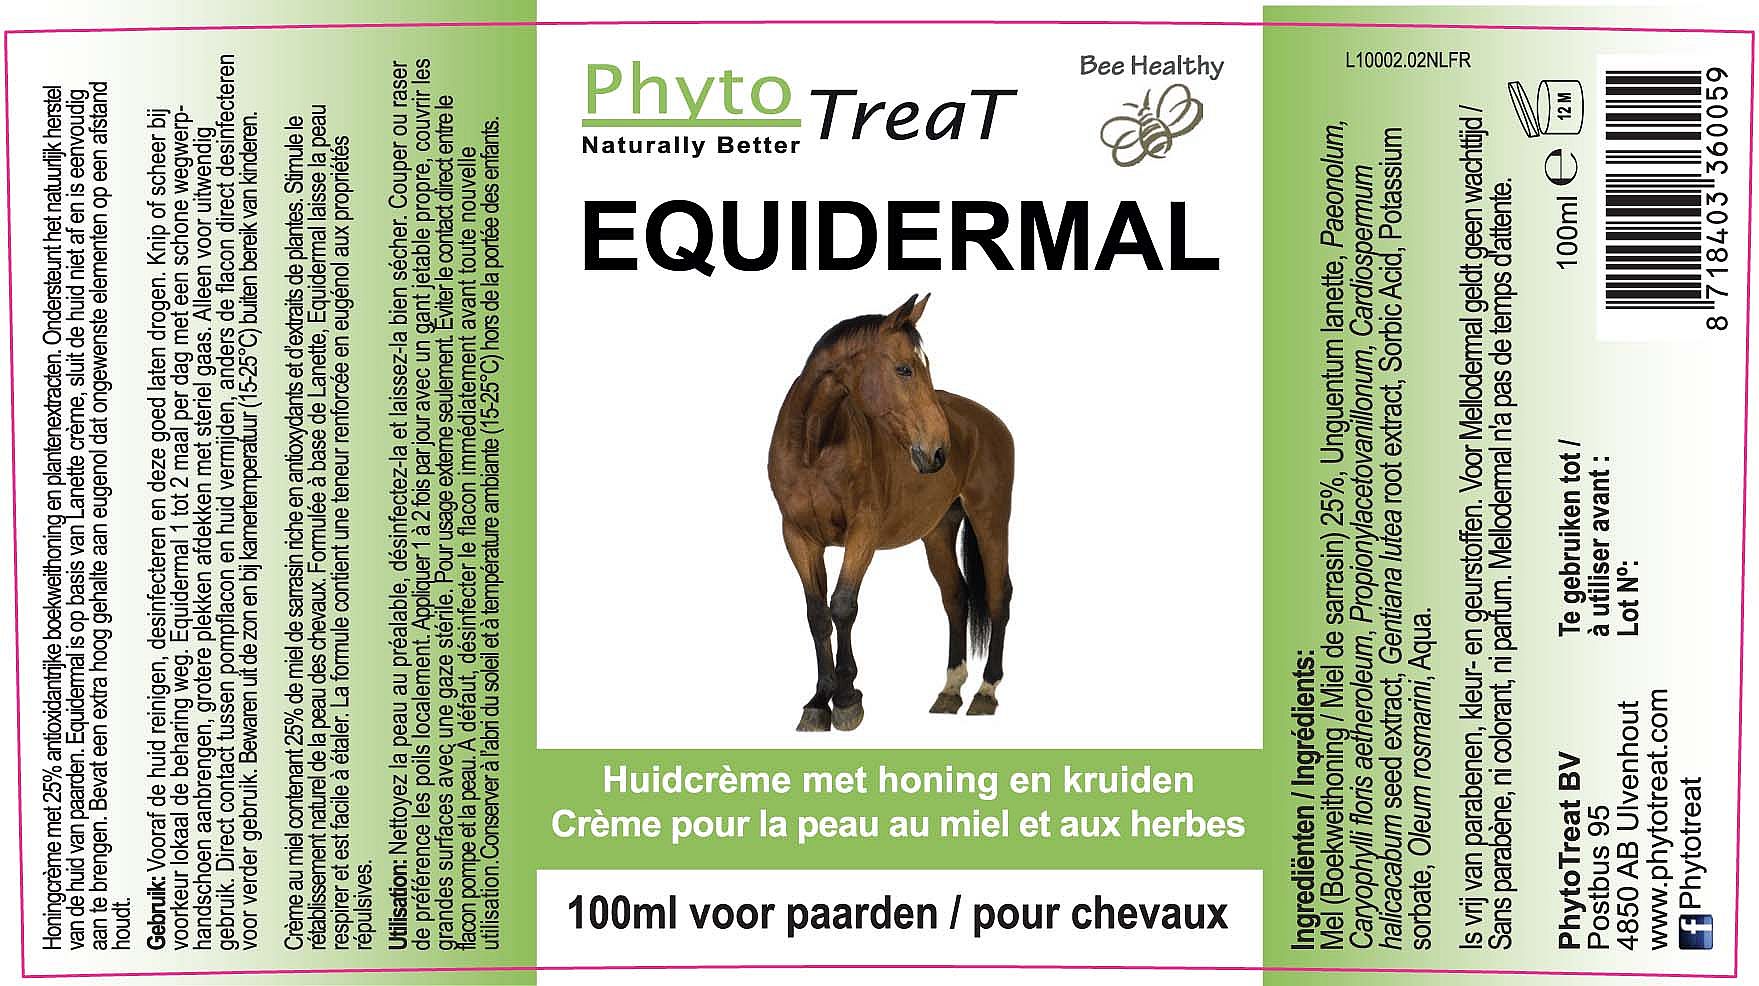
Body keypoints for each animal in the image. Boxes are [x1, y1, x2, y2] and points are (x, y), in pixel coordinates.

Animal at [768, 294, 1015, 732]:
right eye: (904, 369)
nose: (939, 450)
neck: (814, 448)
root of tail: (990, 423)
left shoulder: (862, 533)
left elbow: (843, 605)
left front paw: (847, 698)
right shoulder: (798, 536)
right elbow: (817, 614)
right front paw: (818, 701)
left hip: (991, 519)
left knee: (998, 594)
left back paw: (985, 693)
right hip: (938, 531)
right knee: (956, 596)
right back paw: (950, 691)